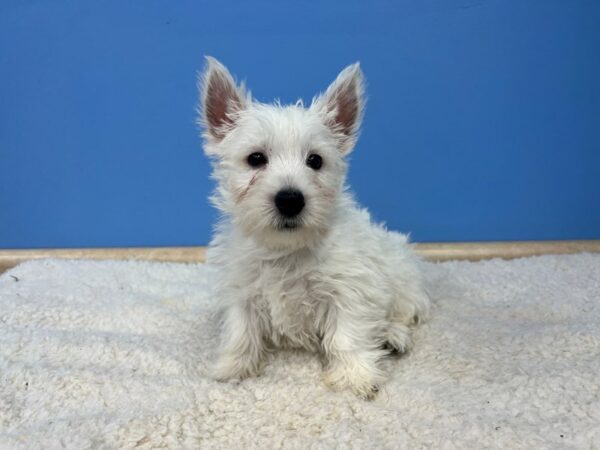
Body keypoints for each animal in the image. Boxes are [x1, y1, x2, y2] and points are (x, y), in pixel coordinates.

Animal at [199, 58, 428, 400]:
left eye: (315, 161)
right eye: (256, 158)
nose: (290, 199)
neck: (288, 249)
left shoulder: (351, 288)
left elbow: (347, 336)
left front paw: (355, 376)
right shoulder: (241, 289)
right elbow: (241, 331)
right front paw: (233, 368)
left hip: (401, 277)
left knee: (403, 311)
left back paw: (393, 335)